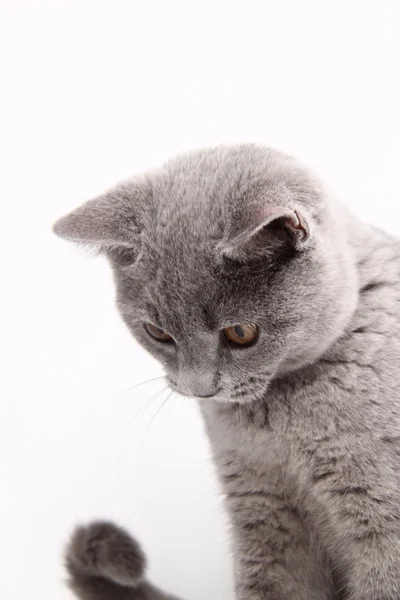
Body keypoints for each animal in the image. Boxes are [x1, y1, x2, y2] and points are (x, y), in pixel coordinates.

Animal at [54, 146, 400, 600]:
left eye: (240, 333)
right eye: (157, 332)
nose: (199, 388)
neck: (278, 429)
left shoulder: (383, 517)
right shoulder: (260, 509)